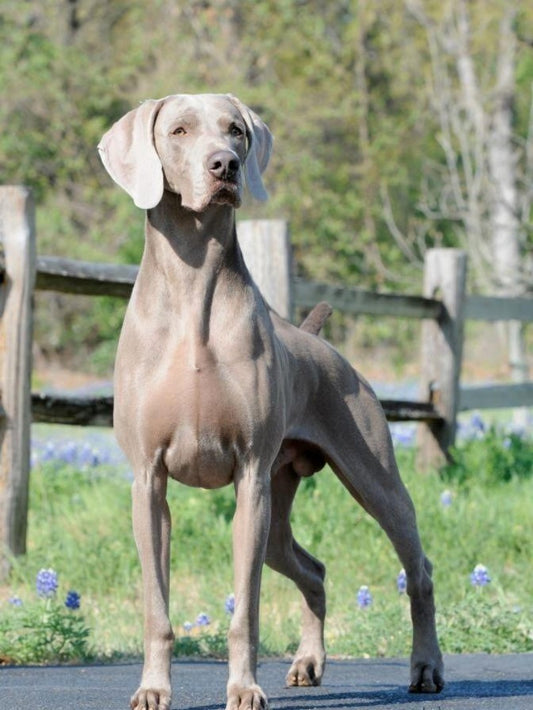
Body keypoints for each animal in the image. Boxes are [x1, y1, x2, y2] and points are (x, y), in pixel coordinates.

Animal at [97, 94, 442, 710]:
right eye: (179, 130)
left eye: (235, 130)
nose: (225, 165)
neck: (193, 289)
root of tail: (318, 340)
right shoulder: (149, 480)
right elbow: (157, 607)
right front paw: (153, 689)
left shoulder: (250, 475)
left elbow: (246, 610)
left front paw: (243, 688)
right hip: (281, 509)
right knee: (314, 569)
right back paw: (308, 662)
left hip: (370, 476)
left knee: (418, 567)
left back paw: (425, 668)